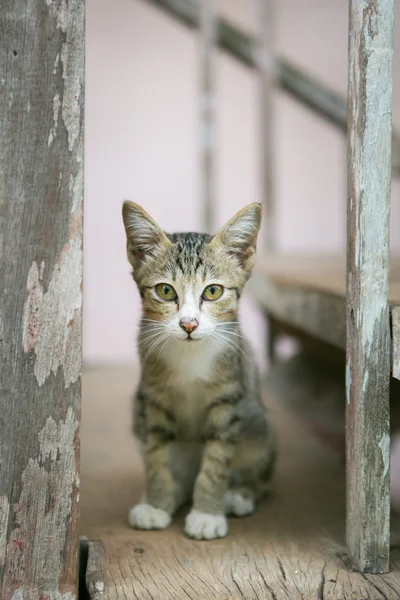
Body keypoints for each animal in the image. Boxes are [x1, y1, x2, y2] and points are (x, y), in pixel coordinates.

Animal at [121, 200, 276, 540]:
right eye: (165, 291)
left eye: (213, 291)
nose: (189, 324)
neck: (189, 357)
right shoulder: (153, 398)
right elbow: (156, 456)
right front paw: (157, 503)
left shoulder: (228, 399)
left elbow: (216, 463)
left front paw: (207, 514)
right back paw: (175, 491)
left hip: (258, 426)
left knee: (263, 472)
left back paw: (241, 493)